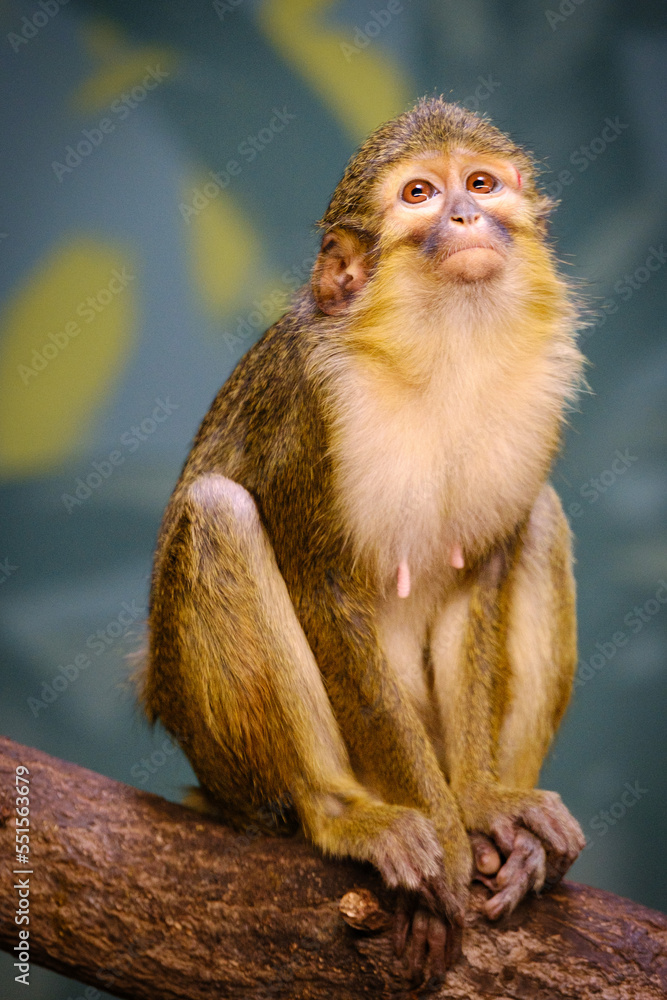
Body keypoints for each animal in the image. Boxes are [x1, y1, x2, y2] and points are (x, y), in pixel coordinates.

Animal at [141, 97, 586, 984]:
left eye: (479, 183)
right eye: (419, 194)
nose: (465, 217)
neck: (446, 345)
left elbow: (476, 576)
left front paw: (479, 805)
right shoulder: (311, 405)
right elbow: (321, 583)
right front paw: (445, 835)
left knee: (541, 516)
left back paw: (517, 822)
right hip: (231, 770)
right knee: (218, 512)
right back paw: (340, 812)